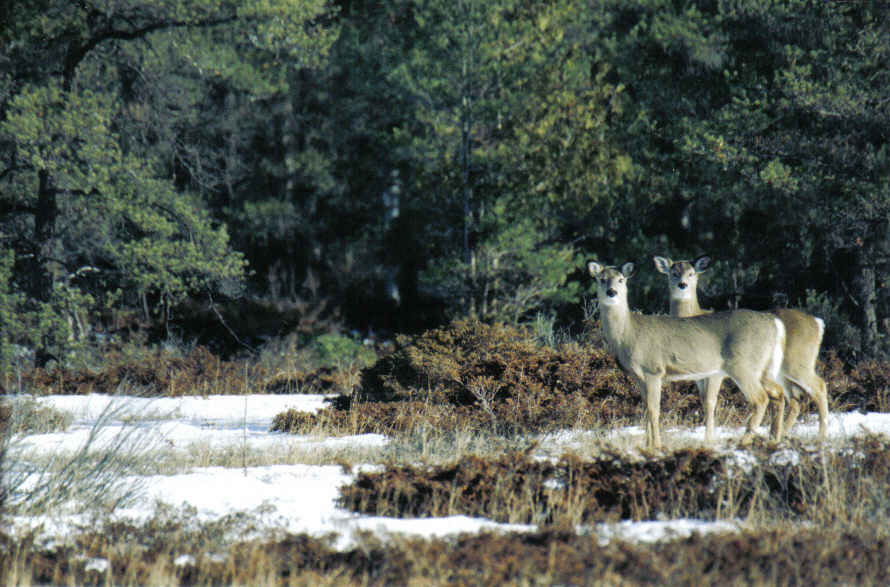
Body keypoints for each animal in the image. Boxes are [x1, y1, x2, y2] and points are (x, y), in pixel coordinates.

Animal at [588, 262, 784, 450]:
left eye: (621, 280)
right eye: (601, 279)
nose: (611, 292)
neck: (628, 334)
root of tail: (773, 323)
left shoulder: (653, 370)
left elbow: (654, 410)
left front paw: (656, 446)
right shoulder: (639, 378)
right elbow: (646, 410)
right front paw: (647, 445)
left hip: (743, 365)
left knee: (761, 399)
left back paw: (743, 441)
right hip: (763, 368)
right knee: (779, 393)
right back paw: (774, 439)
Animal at [648, 255, 828, 444]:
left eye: (691, 273)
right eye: (673, 273)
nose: (682, 284)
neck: (694, 315)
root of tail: (818, 323)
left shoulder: (715, 373)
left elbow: (710, 402)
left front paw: (708, 439)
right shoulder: (699, 376)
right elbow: (704, 401)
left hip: (798, 362)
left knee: (818, 386)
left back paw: (820, 435)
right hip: (778, 372)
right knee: (793, 398)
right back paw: (778, 436)